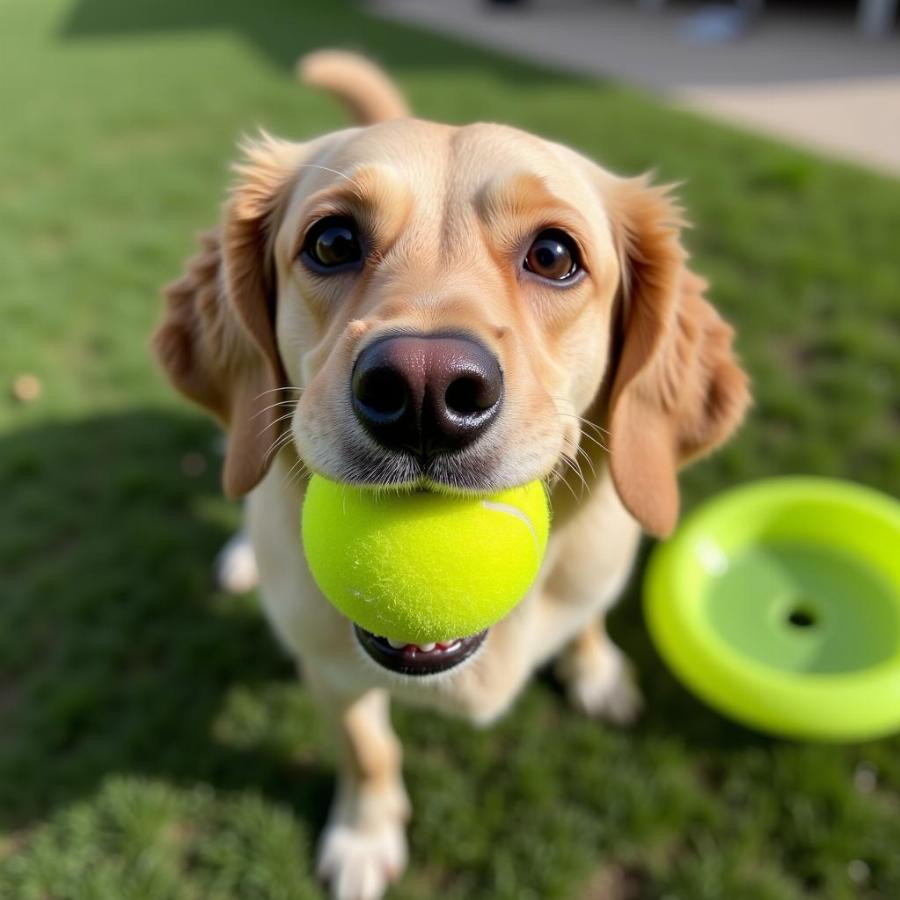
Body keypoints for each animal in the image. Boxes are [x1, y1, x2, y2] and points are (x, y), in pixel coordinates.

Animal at [155, 52, 752, 900]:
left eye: (554, 255)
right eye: (332, 241)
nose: (424, 393)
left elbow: (589, 618)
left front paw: (595, 668)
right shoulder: (329, 671)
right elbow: (369, 750)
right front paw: (364, 835)